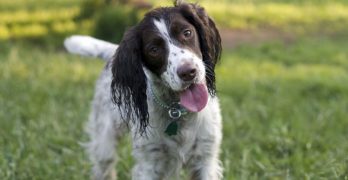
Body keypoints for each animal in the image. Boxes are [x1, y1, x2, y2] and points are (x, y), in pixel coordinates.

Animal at [64, 1, 223, 179]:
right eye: (153, 50)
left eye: (187, 32)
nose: (188, 72)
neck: (177, 112)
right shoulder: (150, 164)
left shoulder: (205, 159)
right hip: (104, 141)